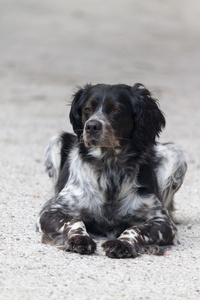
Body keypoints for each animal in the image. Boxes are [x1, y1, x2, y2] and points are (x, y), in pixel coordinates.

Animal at [36, 84, 188, 258]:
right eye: (87, 109)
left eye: (116, 110)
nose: (92, 126)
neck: (110, 168)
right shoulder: (50, 211)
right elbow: (74, 221)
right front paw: (80, 239)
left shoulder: (163, 221)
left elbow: (136, 228)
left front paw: (123, 243)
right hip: (56, 141)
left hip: (175, 154)